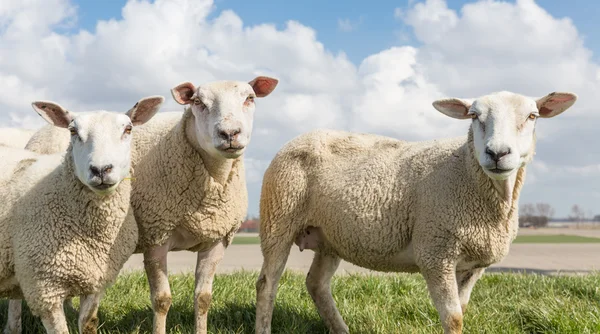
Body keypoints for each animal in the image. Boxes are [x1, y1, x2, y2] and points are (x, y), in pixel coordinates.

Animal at [0, 95, 164, 332]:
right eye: (73, 131)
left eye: (128, 129)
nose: (101, 169)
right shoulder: (44, 289)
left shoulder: (96, 280)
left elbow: (88, 322)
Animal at [21, 76, 278, 334]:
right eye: (198, 102)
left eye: (250, 98)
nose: (229, 133)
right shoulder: (156, 236)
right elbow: (162, 300)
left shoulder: (217, 240)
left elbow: (203, 298)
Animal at [255, 91, 580, 334]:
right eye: (474, 116)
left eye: (532, 116)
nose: (497, 153)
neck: (465, 172)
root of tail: (298, 138)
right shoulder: (435, 253)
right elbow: (453, 318)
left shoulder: (473, 265)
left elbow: (462, 311)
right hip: (278, 217)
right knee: (267, 285)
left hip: (330, 236)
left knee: (316, 284)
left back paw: (341, 329)